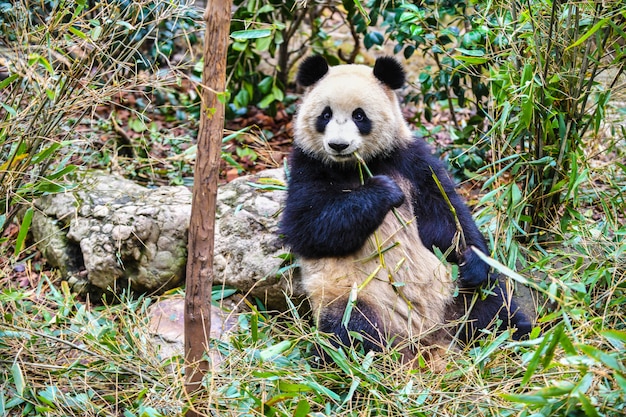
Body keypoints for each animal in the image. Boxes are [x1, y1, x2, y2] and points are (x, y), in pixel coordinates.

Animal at [280, 56, 528, 368]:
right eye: (325, 115)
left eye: (359, 116)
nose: (338, 145)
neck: (353, 166)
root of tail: (427, 337)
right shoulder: (306, 167)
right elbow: (307, 226)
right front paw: (384, 191)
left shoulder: (410, 160)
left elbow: (446, 215)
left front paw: (473, 261)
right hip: (353, 297)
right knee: (351, 332)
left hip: (452, 290)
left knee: (491, 306)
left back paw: (520, 339)